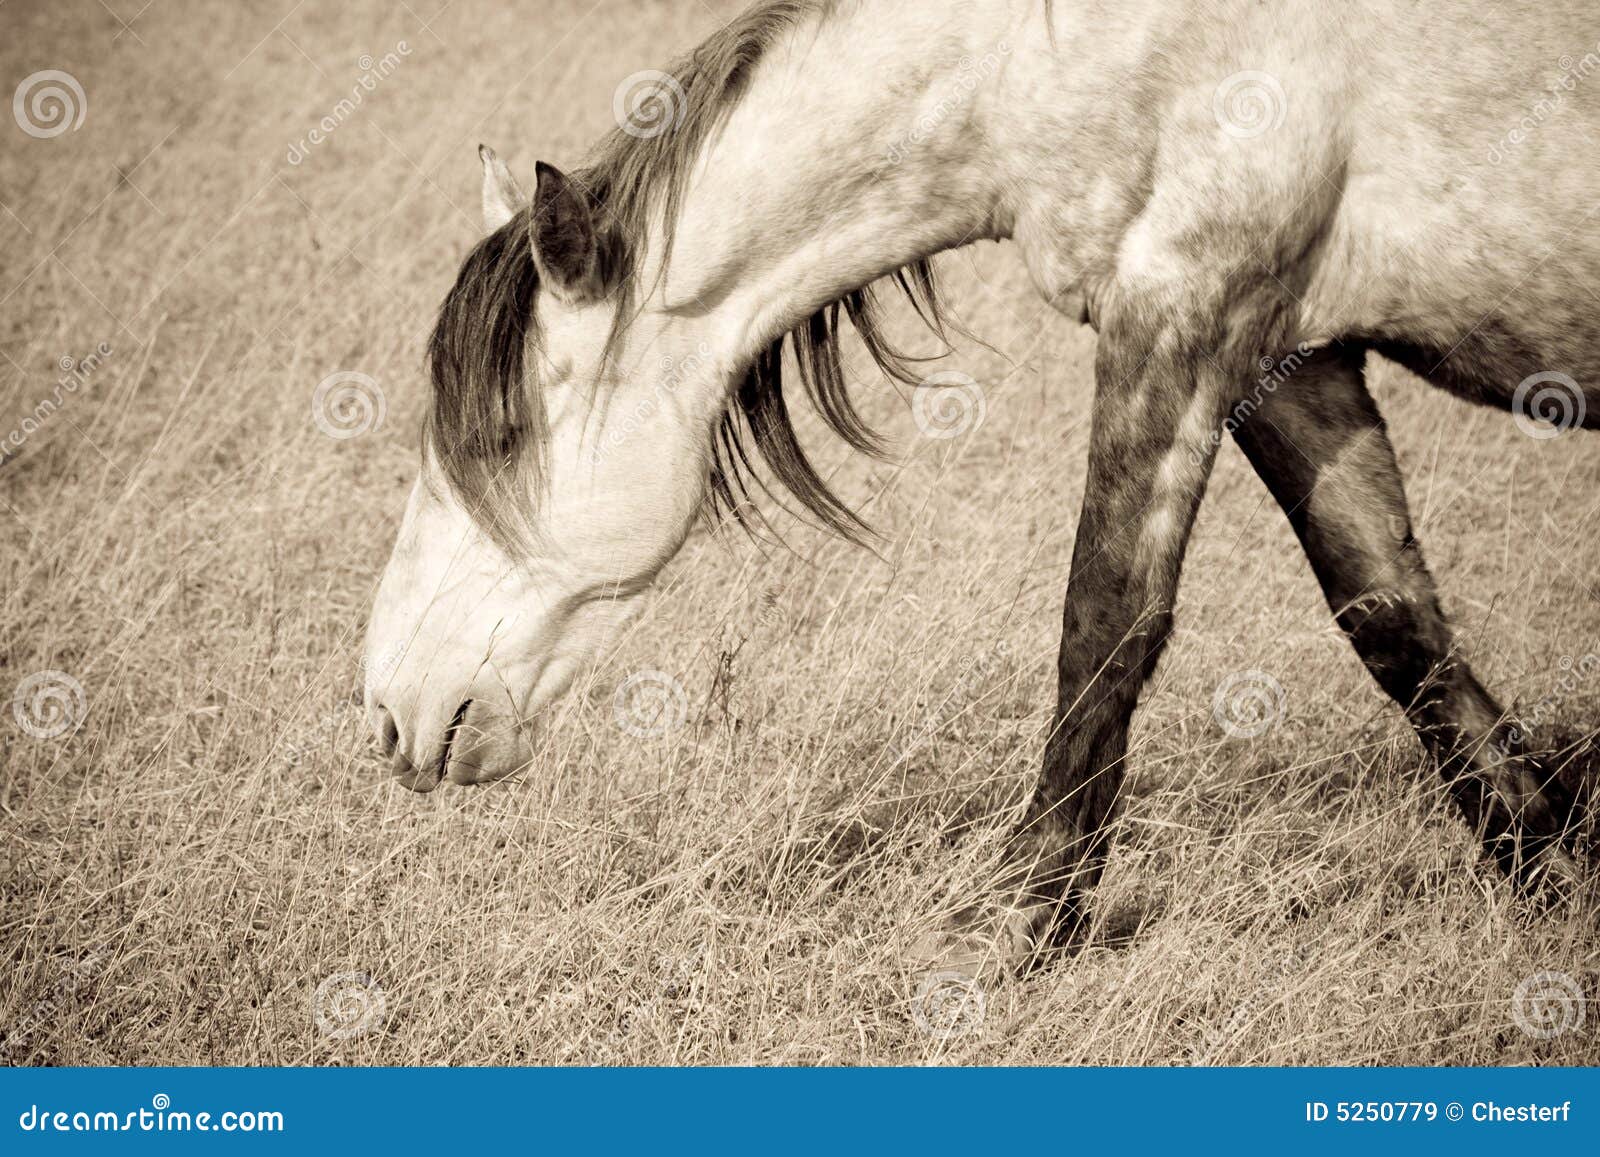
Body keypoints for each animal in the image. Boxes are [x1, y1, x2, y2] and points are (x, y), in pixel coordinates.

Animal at [364, 0, 1599, 971]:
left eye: (503, 433)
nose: (389, 715)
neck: (1053, 51)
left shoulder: (1185, 317)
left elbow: (1106, 621)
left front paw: (1017, 927)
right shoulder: (1293, 356)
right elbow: (1392, 617)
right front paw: (1547, 869)